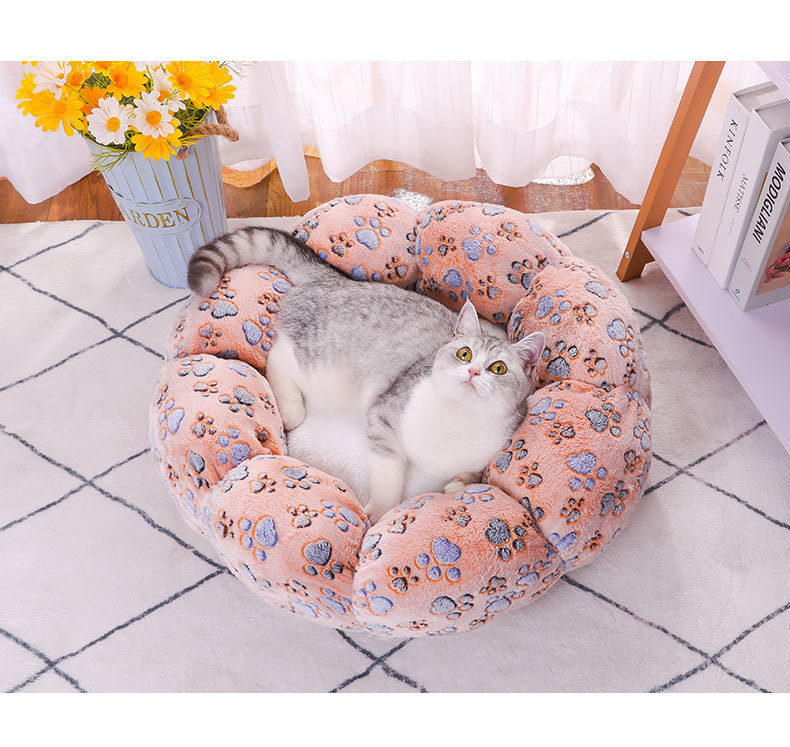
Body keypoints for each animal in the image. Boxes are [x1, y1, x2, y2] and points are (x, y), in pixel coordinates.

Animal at [188, 226, 545, 522]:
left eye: (498, 368)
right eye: (465, 353)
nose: (472, 372)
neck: (457, 421)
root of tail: (336, 280)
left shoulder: (484, 456)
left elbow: (473, 475)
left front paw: (457, 486)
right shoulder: (383, 421)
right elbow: (388, 477)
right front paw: (381, 513)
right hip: (322, 365)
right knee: (278, 357)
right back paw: (291, 408)